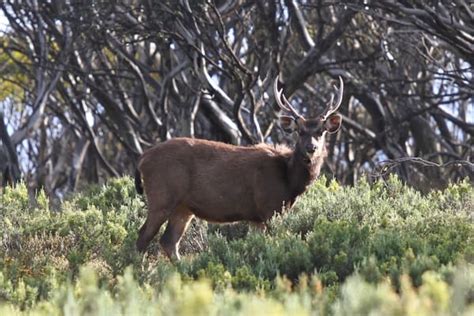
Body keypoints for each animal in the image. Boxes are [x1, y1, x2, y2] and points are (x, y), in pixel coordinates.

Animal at [135, 76, 342, 260]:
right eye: (300, 131)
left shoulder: (256, 218)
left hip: (183, 207)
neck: (288, 181)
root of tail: (143, 159)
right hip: (161, 195)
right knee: (143, 235)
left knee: (169, 241)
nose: (311, 148)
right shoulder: (268, 207)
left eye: (321, 131)